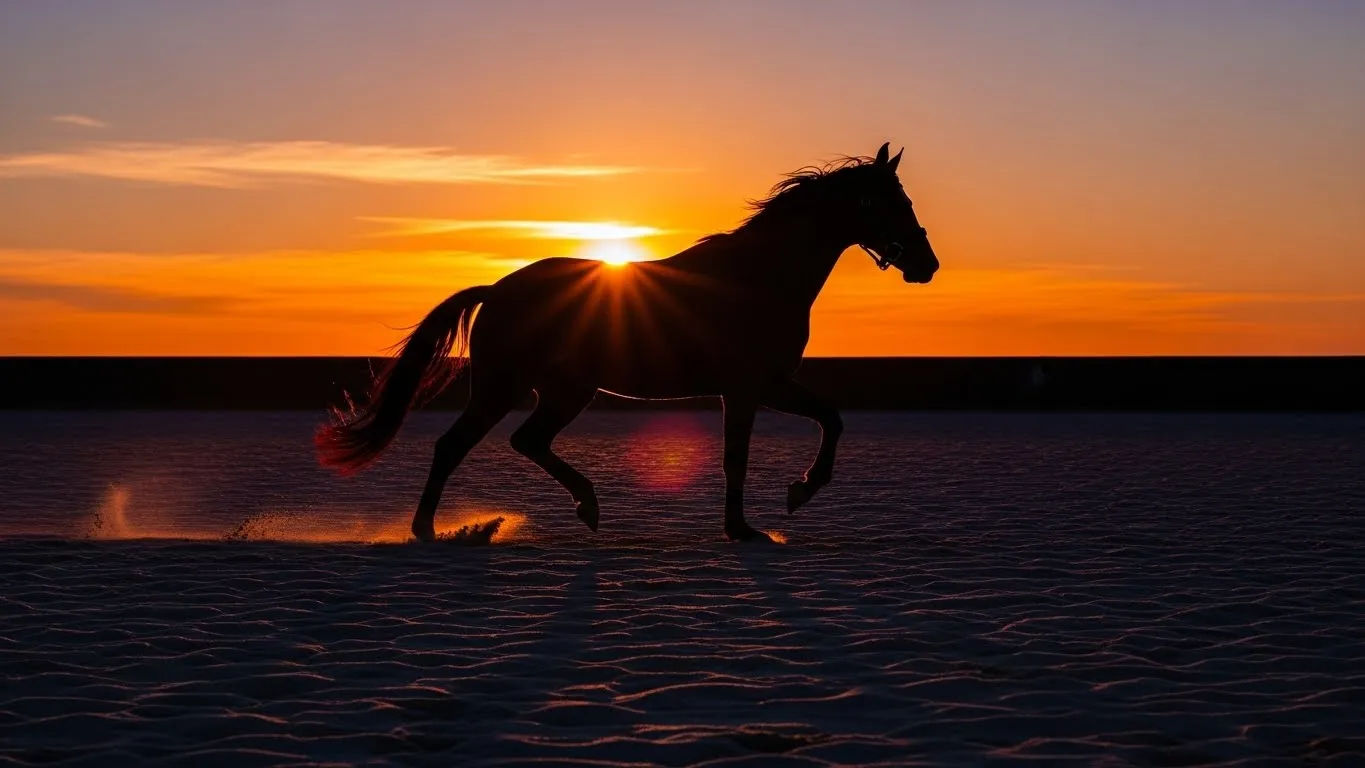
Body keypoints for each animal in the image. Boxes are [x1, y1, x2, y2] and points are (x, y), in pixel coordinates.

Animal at [316, 142, 939, 542]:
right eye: (893, 203)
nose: (927, 265)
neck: (758, 277)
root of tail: (497, 289)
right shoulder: (748, 388)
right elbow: (741, 455)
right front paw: (752, 523)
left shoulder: (765, 386)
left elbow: (829, 419)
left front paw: (791, 496)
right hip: (508, 388)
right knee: (456, 446)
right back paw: (430, 529)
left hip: (562, 391)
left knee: (525, 441)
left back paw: (583, 507)